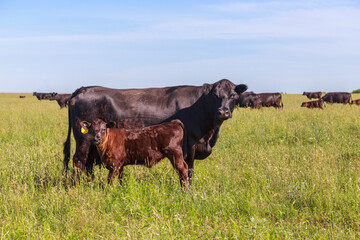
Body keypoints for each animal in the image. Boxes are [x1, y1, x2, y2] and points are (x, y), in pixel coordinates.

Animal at [62, 79, 248, 184]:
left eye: (232, 96)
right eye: (215, 95)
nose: (223, 111)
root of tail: (83, 89)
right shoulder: (191, 147)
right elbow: (189, 171)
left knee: (88, 165)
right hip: (85, 141)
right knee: (79, 162)